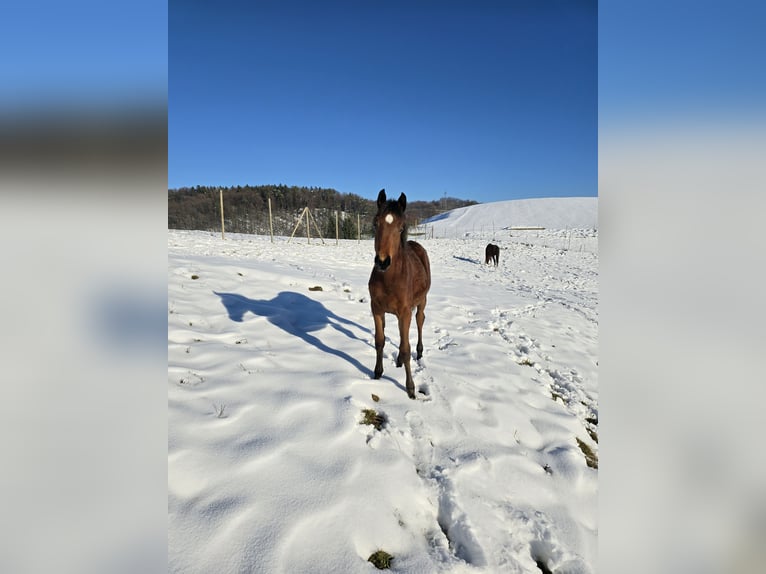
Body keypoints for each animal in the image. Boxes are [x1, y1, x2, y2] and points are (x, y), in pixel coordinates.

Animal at [368, 189, 431, 399]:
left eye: (401, 226)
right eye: (376, 222)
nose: (382, 261)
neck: (390, 280)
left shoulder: (404, 312)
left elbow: (405, 348)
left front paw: (410, 389)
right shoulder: (376, 309)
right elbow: (379, 341)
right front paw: (377, 373)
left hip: (421, 302)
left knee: (419, 320)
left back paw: (419, 352)